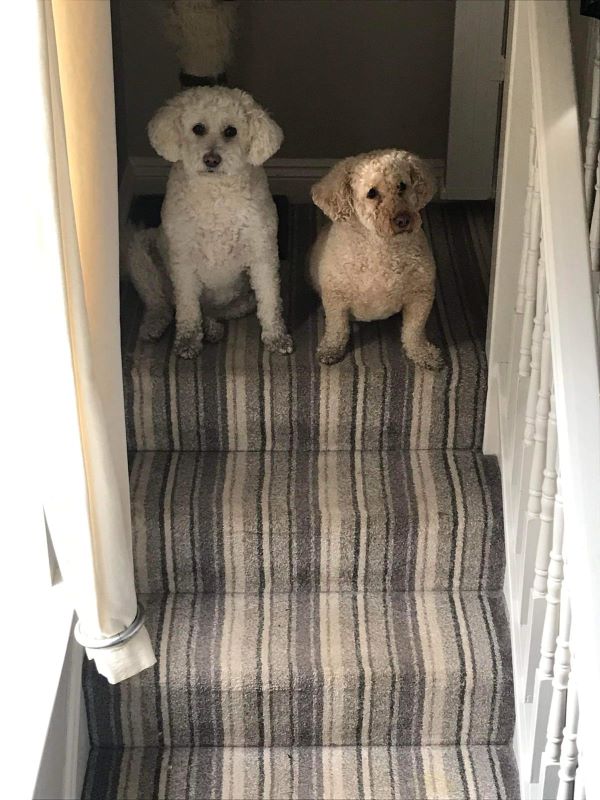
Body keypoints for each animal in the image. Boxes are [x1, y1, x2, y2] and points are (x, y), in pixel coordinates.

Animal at [128, 86, 292, 358]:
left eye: (231, 131)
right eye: (198, 128)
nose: (212, 159)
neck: (216, 194)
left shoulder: (263, 254)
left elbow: (270, 300)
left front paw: (277, 338)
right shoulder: (183, 261)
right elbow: (187, 308)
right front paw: (187, 341)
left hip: (241, 300)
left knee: (218, 311)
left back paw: (213, 327)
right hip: (139, 251)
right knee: (161, 303)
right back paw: (154, 325)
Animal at [310, 148, 440, 368]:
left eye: (402, 185)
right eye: (371, 193)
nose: (403, 220)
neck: (382, 246)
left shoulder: (421, 294)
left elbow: (414, 331)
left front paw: (423, 354)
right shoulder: (336, 296)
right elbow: (337, 327)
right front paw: (330, 349)